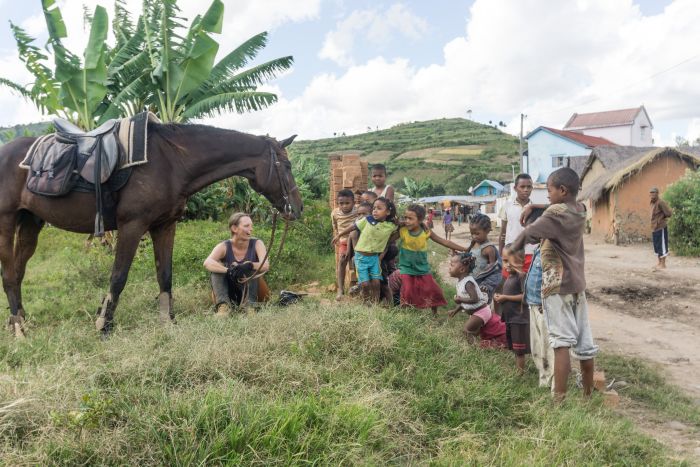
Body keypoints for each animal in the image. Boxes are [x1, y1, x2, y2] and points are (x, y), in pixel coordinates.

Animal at [0, 123, 304, 336]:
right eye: (287, 166)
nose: (298, 208)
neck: (172, 161)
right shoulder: (132, 226)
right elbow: (118, 277)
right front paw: (103, 324)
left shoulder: (164, 225)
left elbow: (165, 275)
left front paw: (167, 321)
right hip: (6, 220)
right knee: (9, 274)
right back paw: (18, 329)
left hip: (30, 222)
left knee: (19, 271)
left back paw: (21, 320)